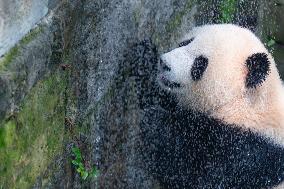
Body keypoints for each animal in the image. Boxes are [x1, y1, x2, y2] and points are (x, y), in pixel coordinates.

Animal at [138, 24, 284, 188]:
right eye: (185, 42)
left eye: (200, 64)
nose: (165, 64)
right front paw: (143, 55)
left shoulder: (252, 154)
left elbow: (198, 176)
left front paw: (155, 124)